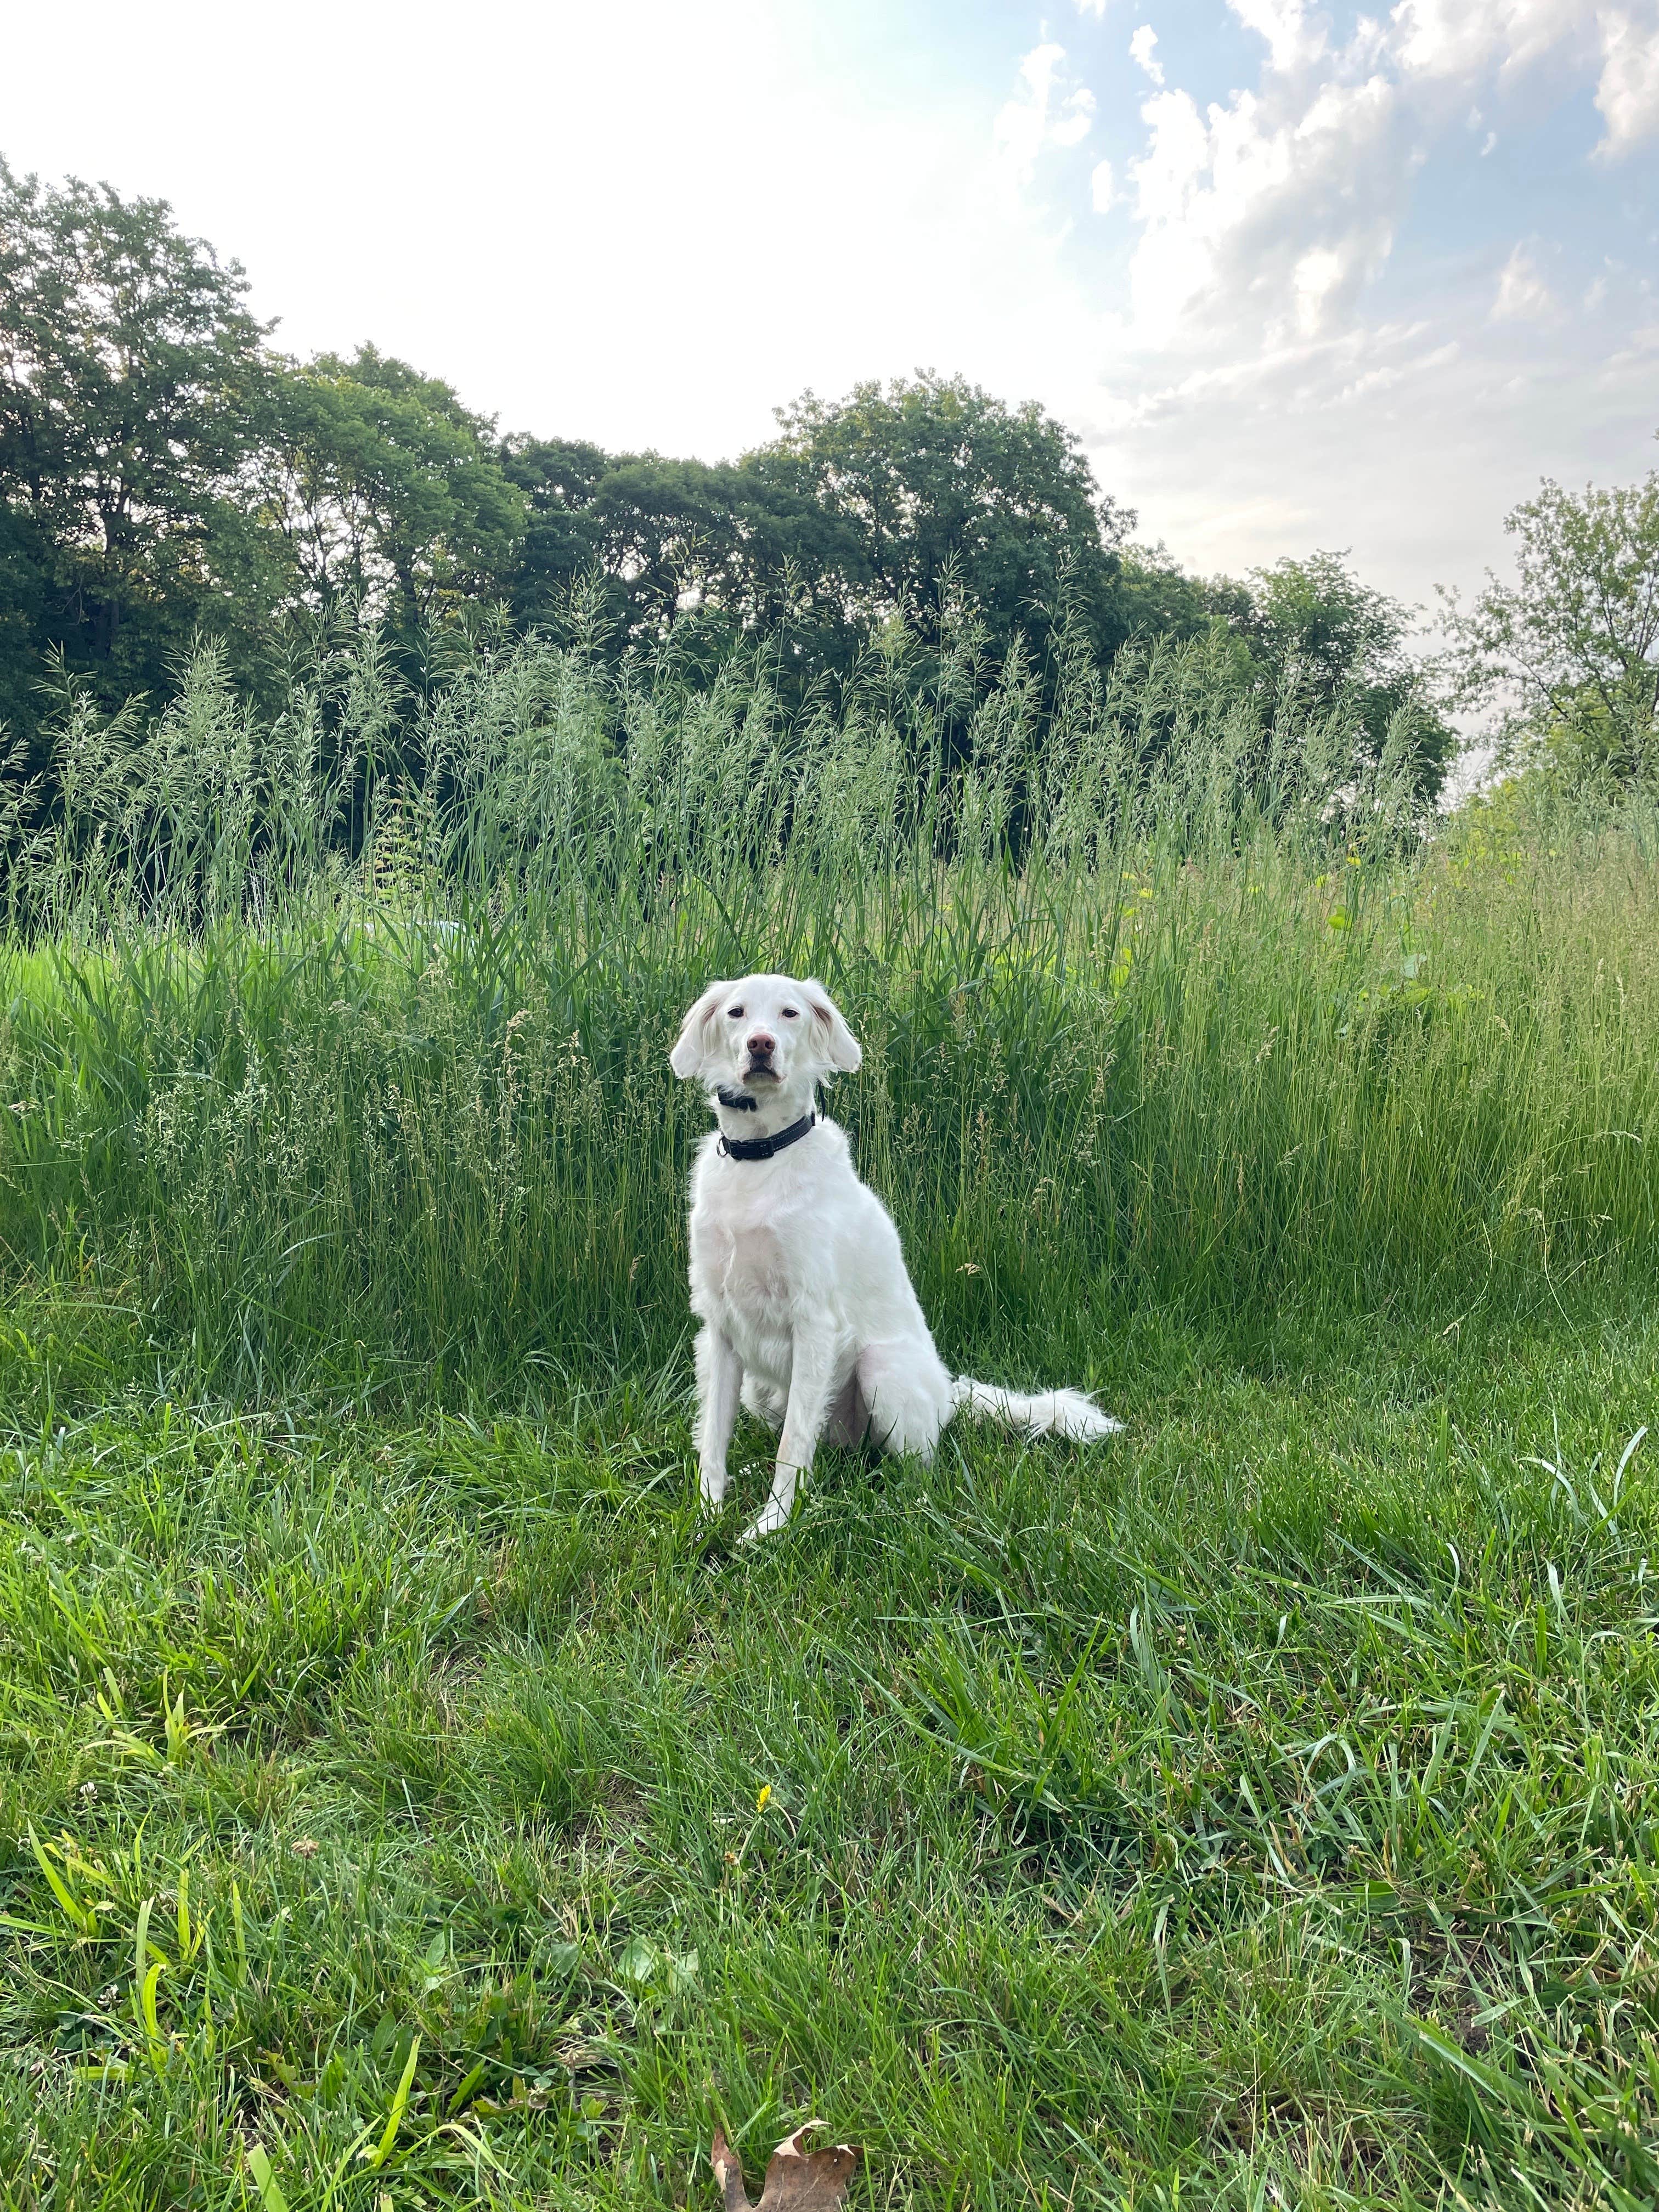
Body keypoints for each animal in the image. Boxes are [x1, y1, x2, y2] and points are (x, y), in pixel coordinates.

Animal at [668, 969, 1124, 1539]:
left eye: (790, 1013)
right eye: (737, 1013)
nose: (761, 1045)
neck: (761, 1156)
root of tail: (949, 1394)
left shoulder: (814, 1323)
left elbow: (793, 1446)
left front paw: (772, 1525)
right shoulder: (719, 1328)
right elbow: (713, 1439)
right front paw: (706, 1515)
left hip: (880, 1369)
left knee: (915, 1471)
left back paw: (896, 1509)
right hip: (760, 1390)